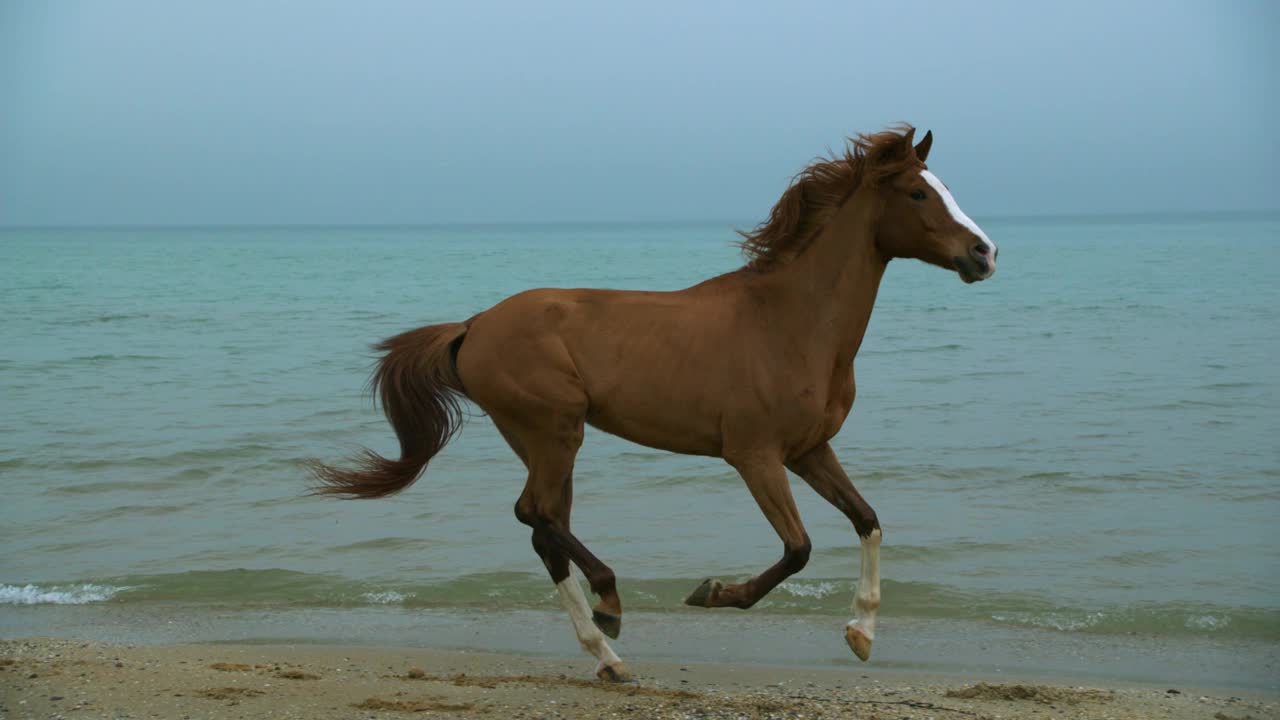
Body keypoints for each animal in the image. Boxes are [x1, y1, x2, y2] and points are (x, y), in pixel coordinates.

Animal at [309, 126, 998, 681]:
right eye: (918, 194)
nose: (985, 254)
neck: (791, 322)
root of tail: (473, 325)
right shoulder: (754, 455)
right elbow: (798, 548)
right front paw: (712, 592)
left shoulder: (809, 450)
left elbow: (868, 520)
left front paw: (861, 634)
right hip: (555, 431)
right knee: (535, 513)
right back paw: (610, 608)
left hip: (540, 438)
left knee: (544, 530)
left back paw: (608, 656)